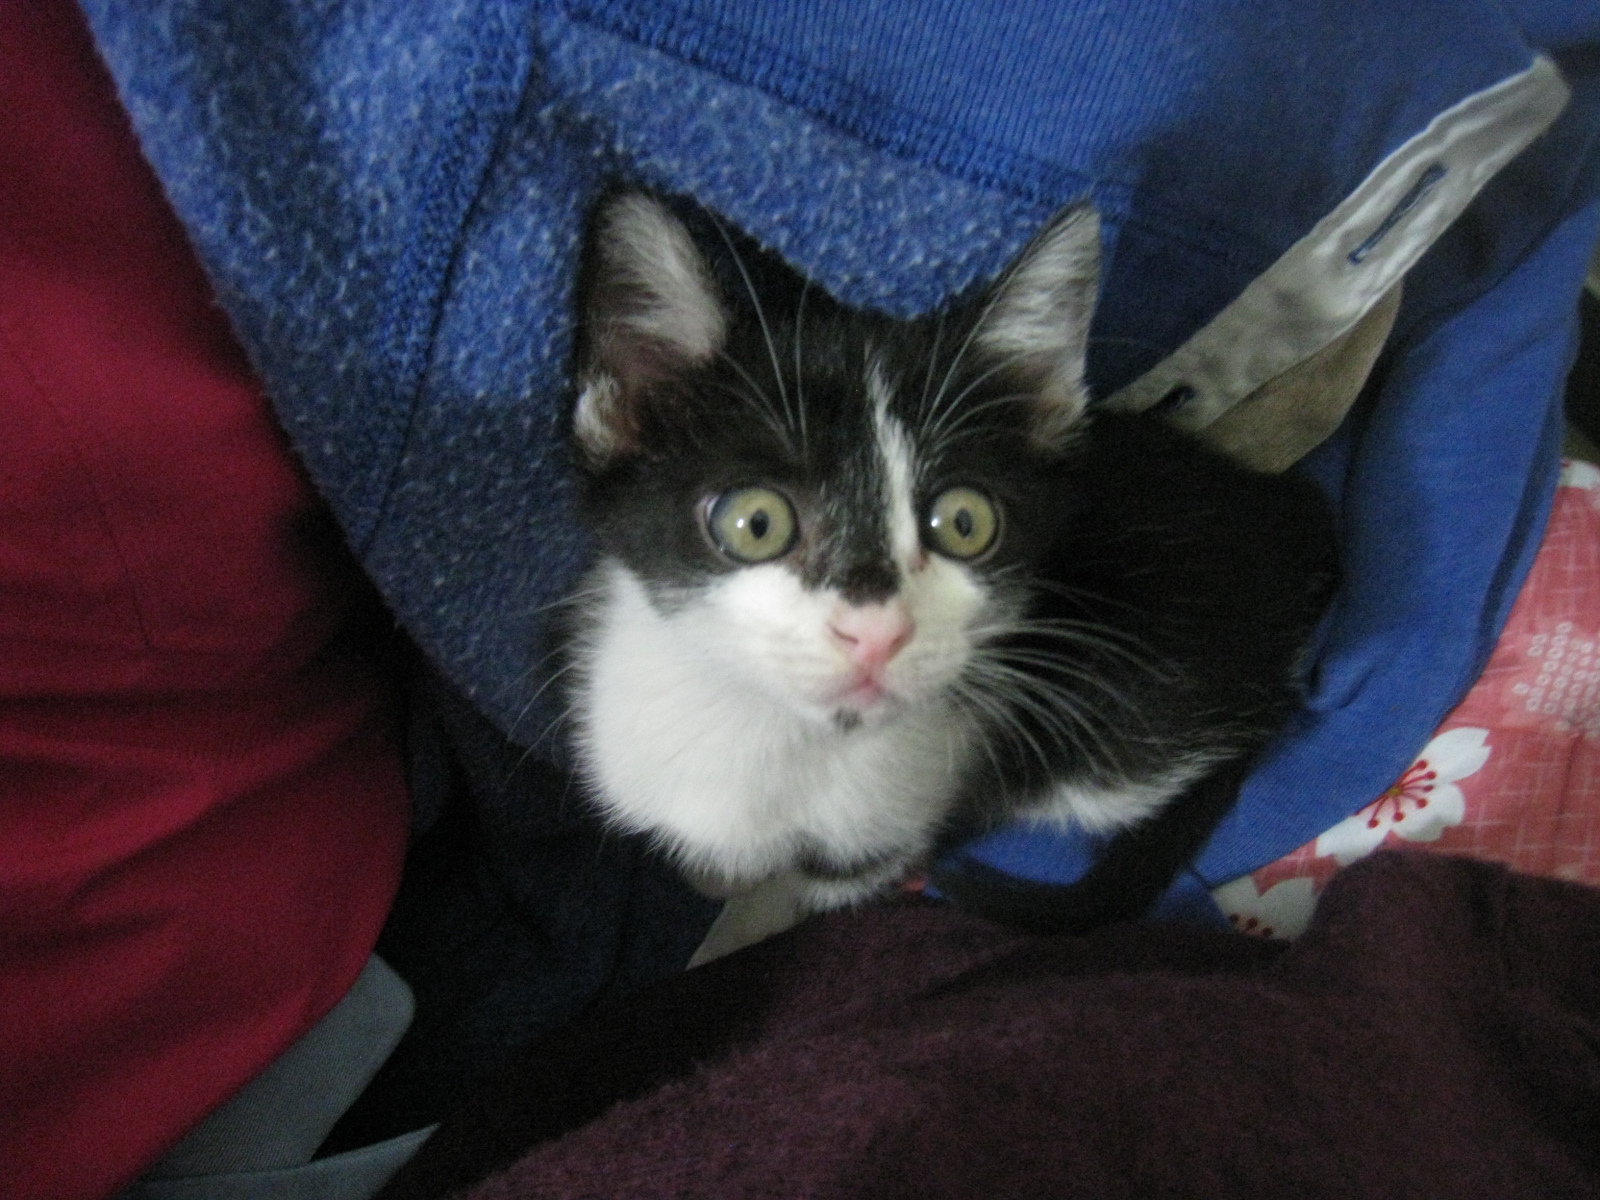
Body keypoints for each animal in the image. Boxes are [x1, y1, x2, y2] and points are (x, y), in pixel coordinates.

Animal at [561, 190, 1339, 934]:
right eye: (756, 523)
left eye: (965, 523)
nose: (876, 633)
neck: (775, 736)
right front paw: (714, 879)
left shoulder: (900, 819)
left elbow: (816, 889)